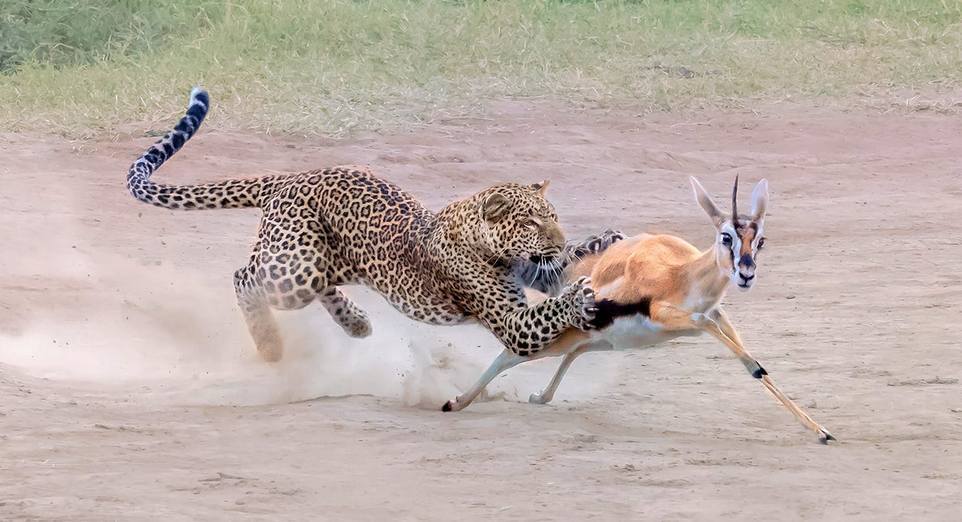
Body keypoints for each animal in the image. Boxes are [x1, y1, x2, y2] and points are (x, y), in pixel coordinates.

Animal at [125, 87, 624, 364]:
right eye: (531, 221)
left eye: (554, 217)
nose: (557, 237)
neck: (489, 245)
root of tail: (291, 177)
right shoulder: (511, 321)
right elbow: (546, 310)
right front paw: (578, 299)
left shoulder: (534, 273)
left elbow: (562, 267)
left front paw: (602, 241)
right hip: (295, 270)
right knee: (244, 276)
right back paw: (270, 347)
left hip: (321, 262)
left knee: (304, 282)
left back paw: (356, 323)